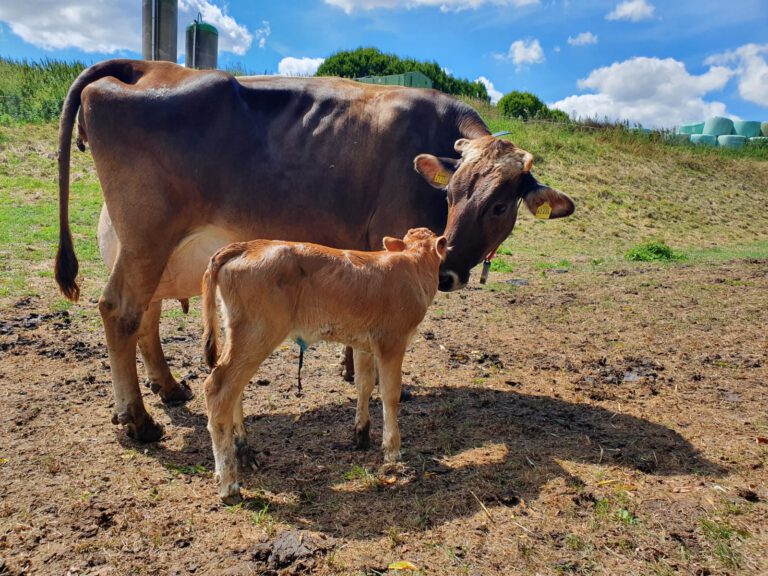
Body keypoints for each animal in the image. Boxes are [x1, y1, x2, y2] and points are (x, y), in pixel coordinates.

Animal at [57, 59, 572, 440]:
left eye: (500, 205)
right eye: (450, 195)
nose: (447, 273)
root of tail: (147, 66)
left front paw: (350, 367)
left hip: (150, 249)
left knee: (145, 315)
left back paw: (166, 389)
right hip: (147, 235)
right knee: (120, 311)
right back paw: (137, 420)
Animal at [201, 227, 448, 502]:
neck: (413, 264)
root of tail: (246, 246)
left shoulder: (363, 343)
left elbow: (364, 385)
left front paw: (361, 434)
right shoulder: (391, 341)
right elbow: (390, 394)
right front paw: (392, 450)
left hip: (240, 336)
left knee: (234, 390)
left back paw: (243, 454)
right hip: (257, 333)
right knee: (218, 389)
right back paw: (229, 484)